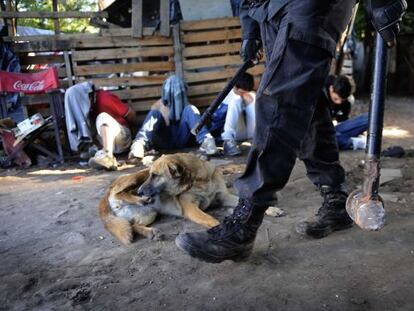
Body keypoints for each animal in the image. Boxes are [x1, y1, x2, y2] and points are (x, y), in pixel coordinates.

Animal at [98, 154, 238, 246]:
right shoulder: (191, 208)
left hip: (150, 213)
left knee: (133, 225)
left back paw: (150, 231)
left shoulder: (225, 196)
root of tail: (109, 189)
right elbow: (211, 219)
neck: (200, 181)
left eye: (155, 176)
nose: (139, 191)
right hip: (136, 177)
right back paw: (140, 200)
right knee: (119, 193)